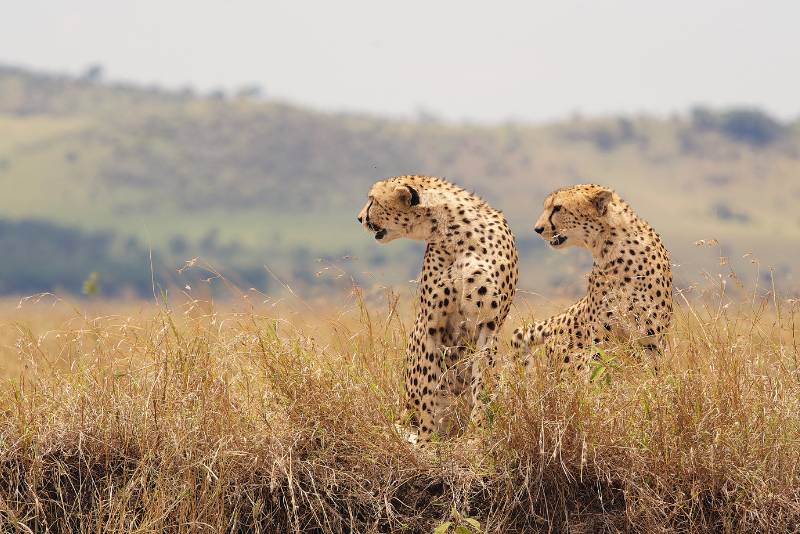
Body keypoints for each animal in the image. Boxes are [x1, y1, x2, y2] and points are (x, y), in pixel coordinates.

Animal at [358, 176, 520, 444]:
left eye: (373, 200)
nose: (359, 218)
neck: (453, 232)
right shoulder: (431, 324)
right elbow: (427, 385)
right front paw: (426, 439)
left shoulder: (489, 325)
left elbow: (482, 384)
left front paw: (476, 435)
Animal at [510, 184, 672, 372]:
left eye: (557, 208)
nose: (537, 229)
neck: (611, 245)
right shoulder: (601, 336)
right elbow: (600, 369)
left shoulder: (651, 335)